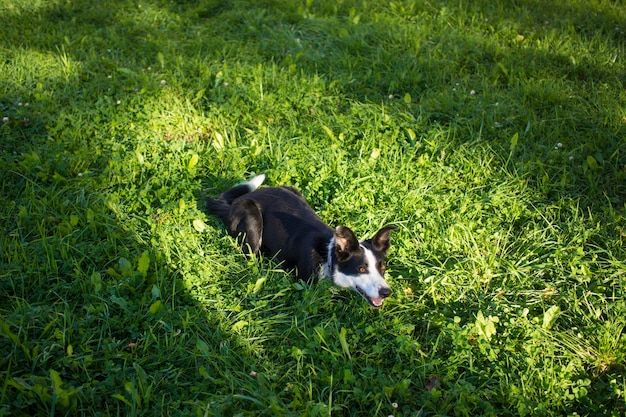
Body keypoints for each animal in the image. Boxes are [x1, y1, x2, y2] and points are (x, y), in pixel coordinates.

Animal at [207, 174, 398, 308]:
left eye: (382, 268)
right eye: (361, 269)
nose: (386, 292)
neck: (326, 257)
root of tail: (232, 204)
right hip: (252, 217)